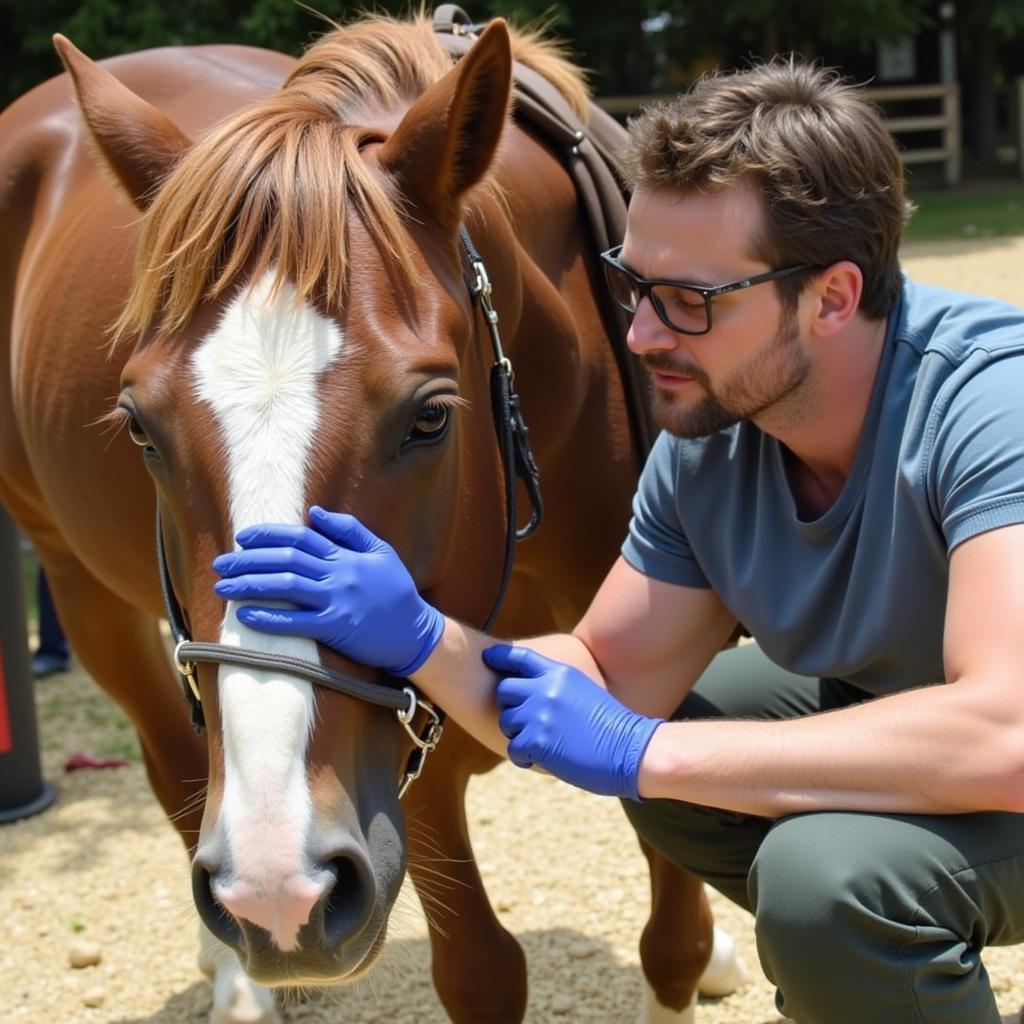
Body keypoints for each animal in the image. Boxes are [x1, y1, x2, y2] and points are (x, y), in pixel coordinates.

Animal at [0, 12, 737, 1019]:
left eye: (429, 417)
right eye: (139, 426)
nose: (275, 885)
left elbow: (674, 940)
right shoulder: (403, 752)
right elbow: (482, 972)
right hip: (81, 590)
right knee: (176, 766)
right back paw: (235, 974)